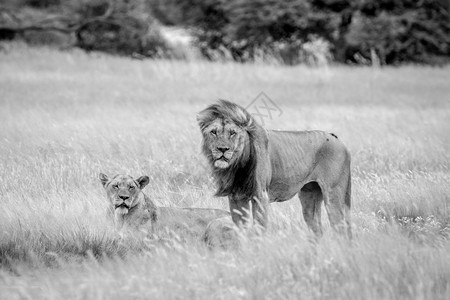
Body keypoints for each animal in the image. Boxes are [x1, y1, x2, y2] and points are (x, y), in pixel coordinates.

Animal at [197, 100, 352, 237]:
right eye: (214, 132)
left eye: (232, 133)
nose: (222, 149)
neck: (237, 164)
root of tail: (338, 140)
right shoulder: (236, 197)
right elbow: (241, 229)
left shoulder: (260, 196)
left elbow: (259, 229)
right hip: (310, 195)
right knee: (317, 230)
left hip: (333, 194)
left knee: (341, 229)